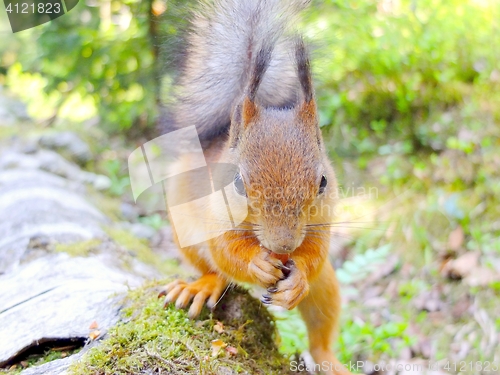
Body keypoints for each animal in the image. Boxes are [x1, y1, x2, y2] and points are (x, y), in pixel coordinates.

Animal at [158, 1, 354, 374]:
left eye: (322, 181)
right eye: (237, 182)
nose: (283, 246)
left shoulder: (323, 220)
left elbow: (316, 253)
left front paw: (298, 277)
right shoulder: (215, 217)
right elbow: (227, 252)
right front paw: (257, 264)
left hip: (325, 288)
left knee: (320, 326)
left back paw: (328, 359)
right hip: (185, 234)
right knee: (214, 270)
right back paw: (202, 285)